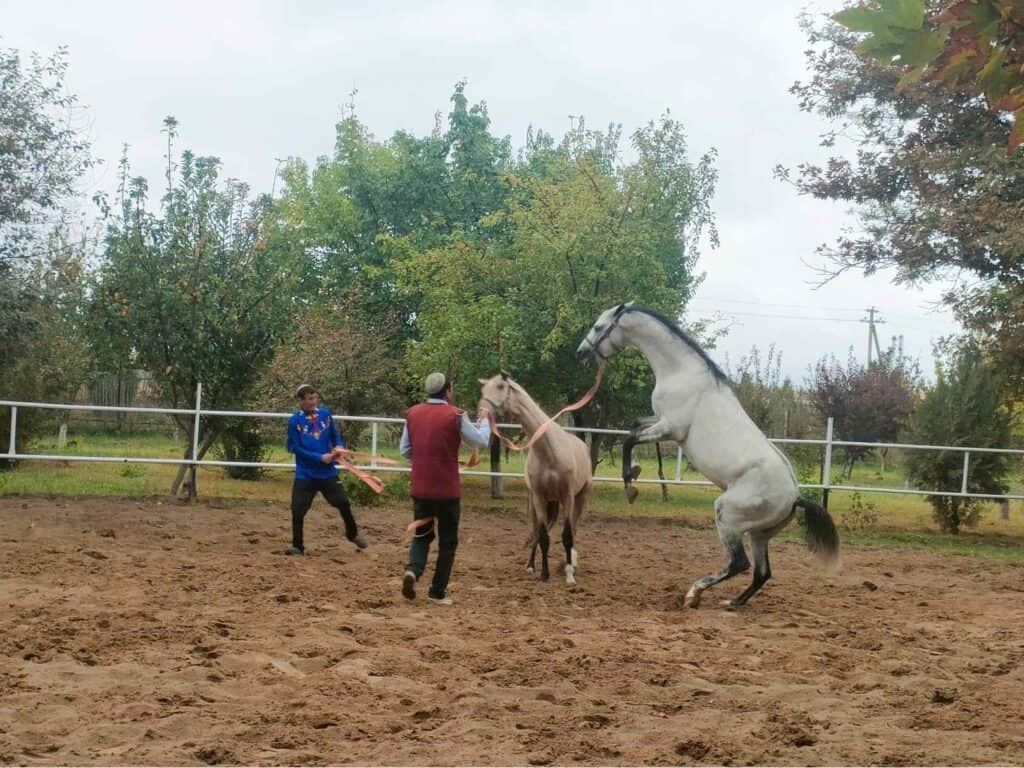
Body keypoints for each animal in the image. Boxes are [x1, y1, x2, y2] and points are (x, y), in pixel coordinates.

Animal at [577, 303, 839, 610]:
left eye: (598, 326)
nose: (581, 352)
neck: (682, 372)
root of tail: (795, 498)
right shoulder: (659, 421)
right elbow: (633, 426)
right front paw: (638, 472)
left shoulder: (670, 428)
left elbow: (629, 439)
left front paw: (631, 487)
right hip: (758, 534)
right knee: (761, 572)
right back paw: (732, 603)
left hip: (728, 515)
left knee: (739, 563)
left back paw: (694, 594)